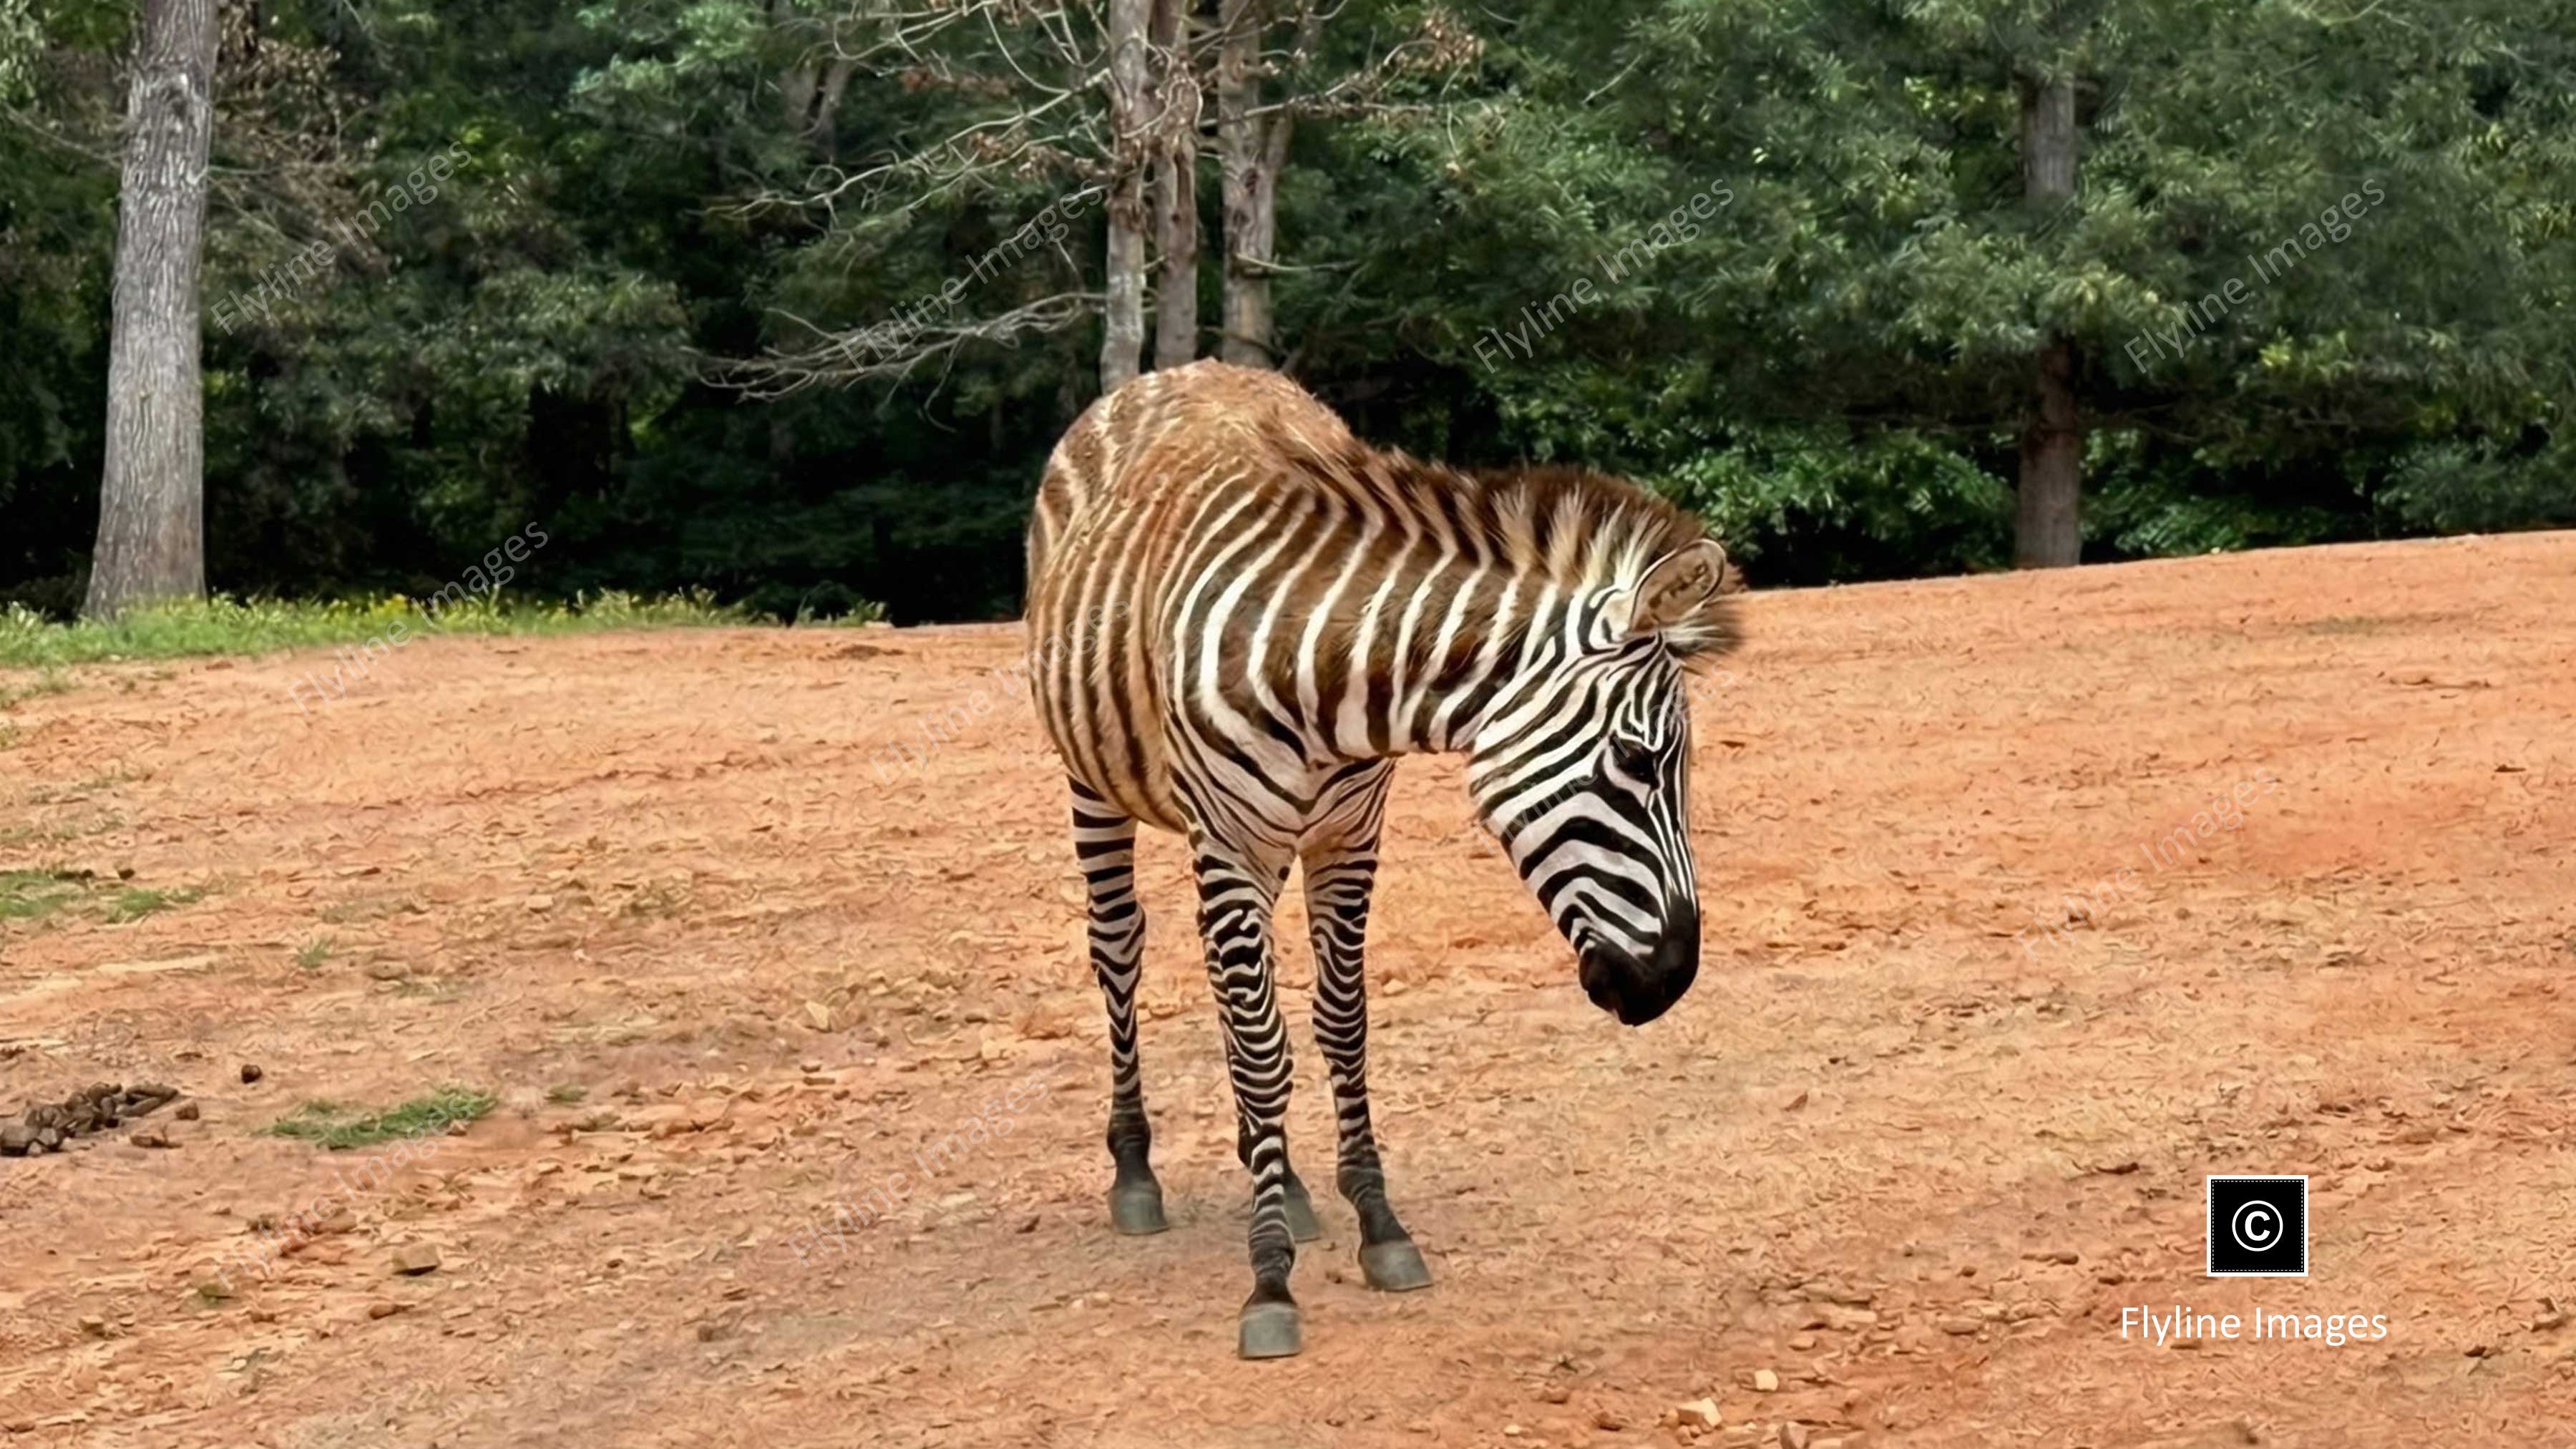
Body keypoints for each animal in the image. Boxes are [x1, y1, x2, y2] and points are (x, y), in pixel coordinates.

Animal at [1023, 360, 1739, 1359]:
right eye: (1640, 760)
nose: (1671, 980)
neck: (1327, 678)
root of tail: (1182, 368)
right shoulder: (1232, 840)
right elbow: (1262, 1046)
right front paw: (1270, 1280)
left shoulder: (1350, 839)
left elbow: (1338, 1025)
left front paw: (1376, 1223)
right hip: (1094, 782)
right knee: (1120, 950)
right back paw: (1136, 1172)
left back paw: (1280, 1178)